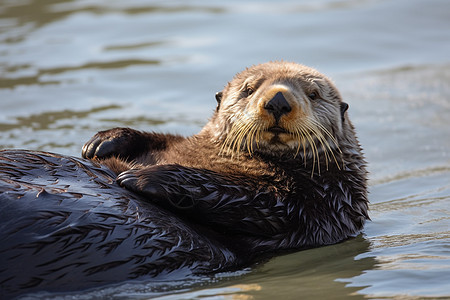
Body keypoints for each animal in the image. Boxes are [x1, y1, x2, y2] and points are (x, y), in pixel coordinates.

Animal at [0, 61, 368, 298]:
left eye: (313, 94)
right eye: (249, 89)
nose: (277, 100)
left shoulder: (318, 204)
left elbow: (248, 196)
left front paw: (143, 177)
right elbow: (160, 140)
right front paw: (103, 141)